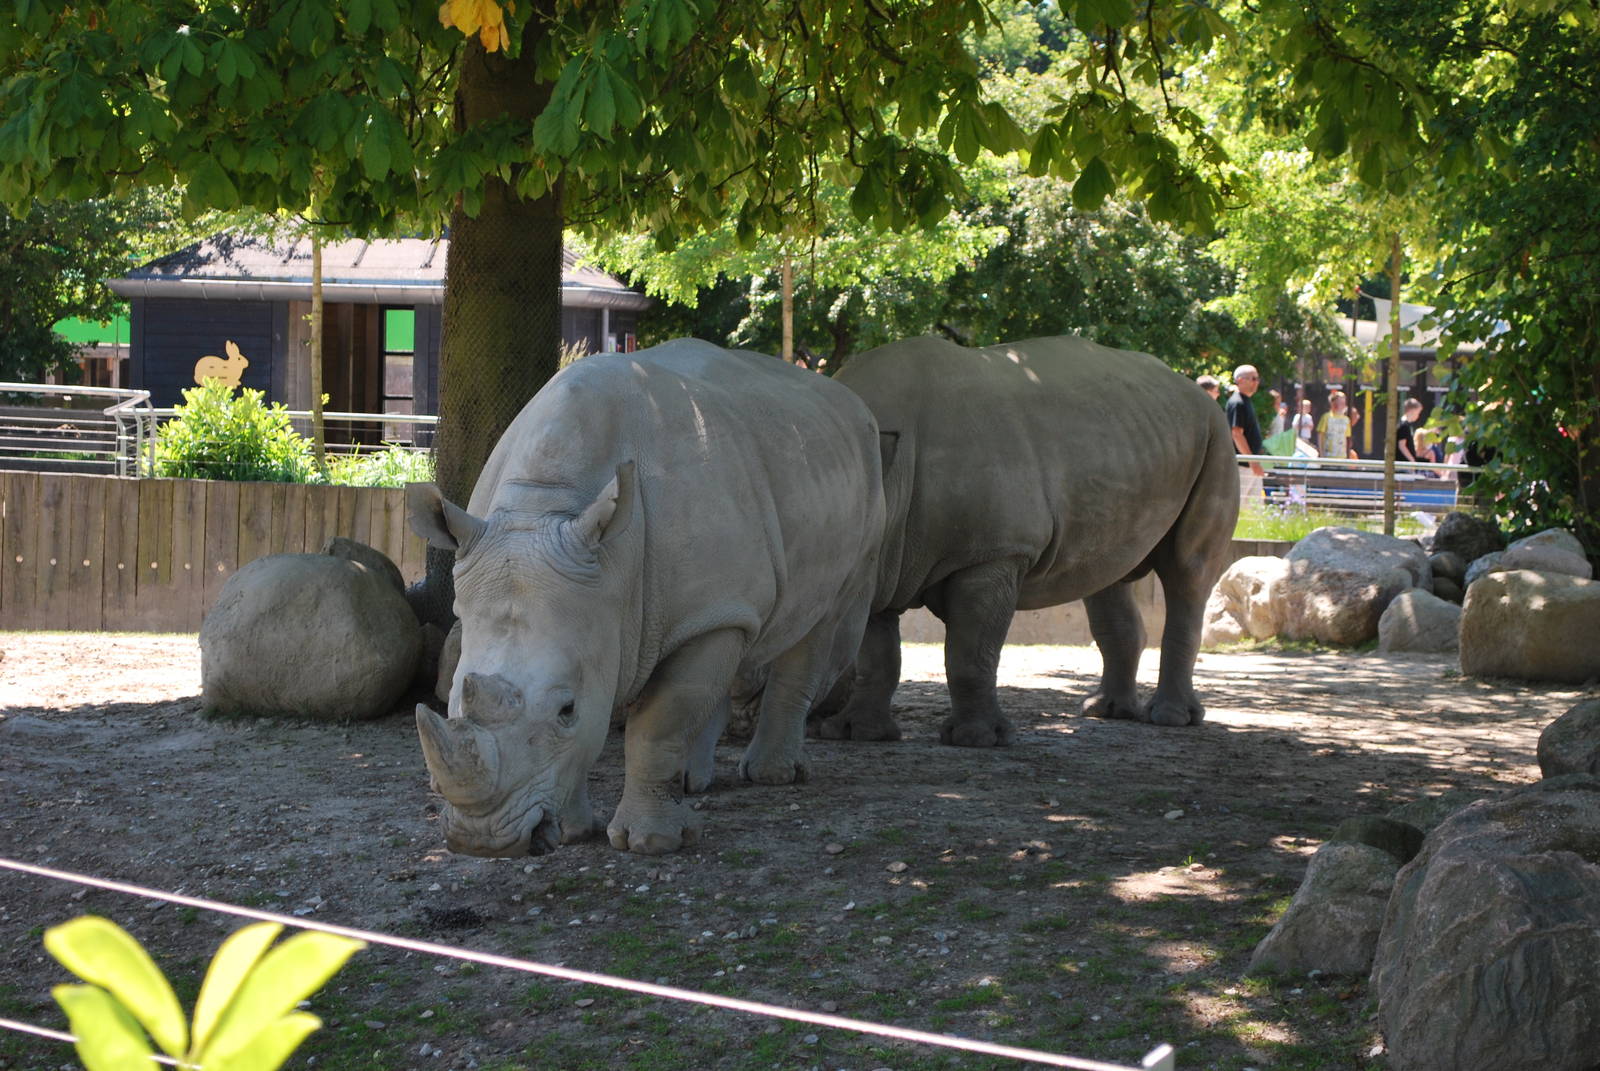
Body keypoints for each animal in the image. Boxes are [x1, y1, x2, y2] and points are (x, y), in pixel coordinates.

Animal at [408, 339, 884, 856]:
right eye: (453, 699)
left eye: (566, 710)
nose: (483, 840)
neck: (546, 507)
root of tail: (848, 398)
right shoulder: (613, 606)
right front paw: (574, 832)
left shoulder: (699, 613)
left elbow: (660, 722)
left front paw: (651, 842)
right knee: (740, 641)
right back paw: (695, 784)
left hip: (861, 484)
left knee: (818, 625)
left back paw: (771, 776)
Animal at [817, 334, 1239, 744]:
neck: (887, 479)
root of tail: (1190, 387)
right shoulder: (878, 561)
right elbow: (877, 654)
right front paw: (859, 733)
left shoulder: (994, 553)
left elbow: (971, 652)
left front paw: (978, 739)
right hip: (1132, 440)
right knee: (1106, 575)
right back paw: (1105, 711)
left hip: (1216, 436)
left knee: (1188, 572)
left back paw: (1171, 719)